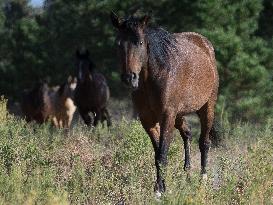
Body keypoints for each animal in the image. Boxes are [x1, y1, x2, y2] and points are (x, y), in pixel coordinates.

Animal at [109, 12, 218, 195]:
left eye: (139, 42)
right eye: (118, 44)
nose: (129, 78)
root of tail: (205, 44)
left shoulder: (167, 116)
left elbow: (162, 154)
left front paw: (159, 191)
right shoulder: (148, 119)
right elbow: (157, 154)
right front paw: (161, 187)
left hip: (207, 107)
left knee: (204, 142)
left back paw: (202, 180)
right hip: (179, 114)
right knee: (187, 133)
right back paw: (187, 173)